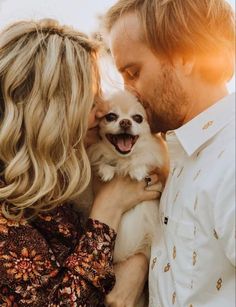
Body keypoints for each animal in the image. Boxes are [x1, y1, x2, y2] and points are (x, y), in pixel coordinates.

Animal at [87, 89, 168, 264]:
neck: (122, 159)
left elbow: (142, 159)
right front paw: (106, 170)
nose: (125, 122)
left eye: (137, 118)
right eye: (111, 116)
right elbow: (103, 160)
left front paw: (137, 170)